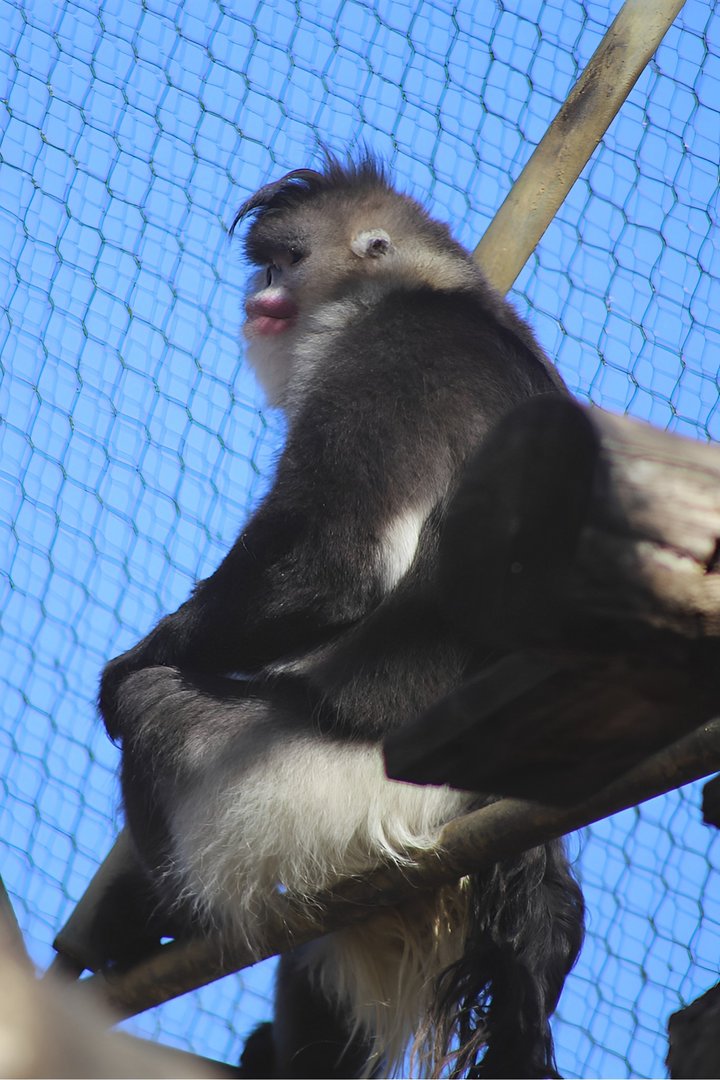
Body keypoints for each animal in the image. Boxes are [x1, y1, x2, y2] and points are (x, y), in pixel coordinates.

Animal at [98, 154, 584, 1079]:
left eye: (286, 261)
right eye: (262, 266)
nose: (258, 298)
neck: (429, 289)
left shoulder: (394, 353)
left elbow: (338, 565)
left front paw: (134, 659)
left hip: (307, 787)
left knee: (159, 710)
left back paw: (171, 919)